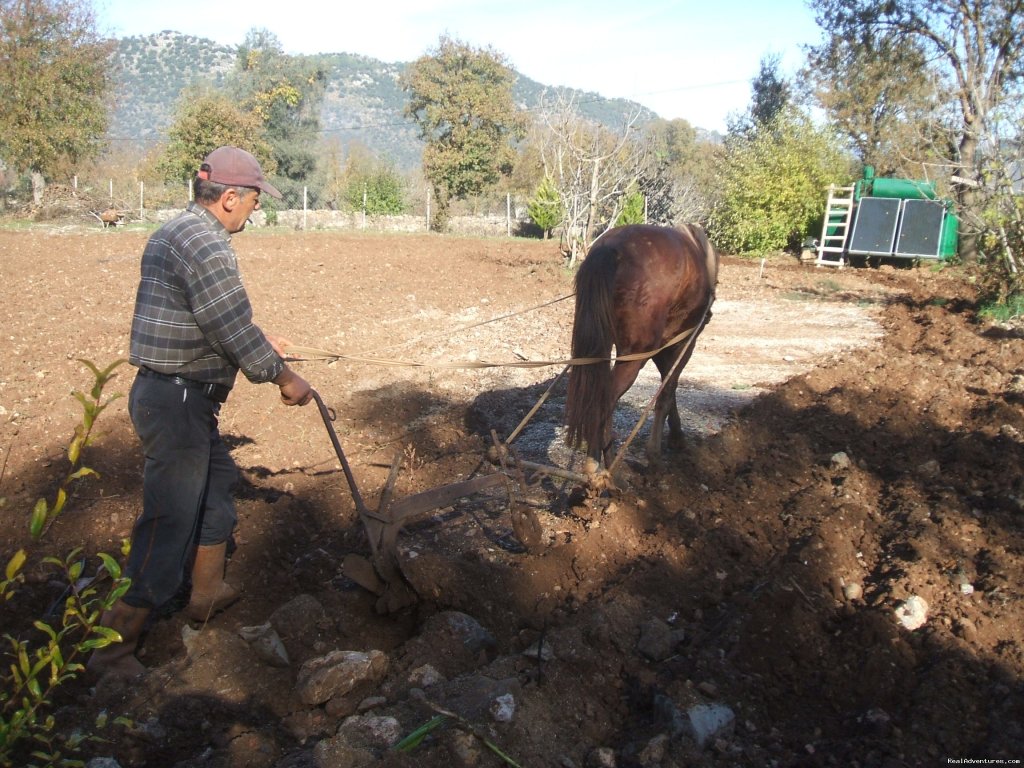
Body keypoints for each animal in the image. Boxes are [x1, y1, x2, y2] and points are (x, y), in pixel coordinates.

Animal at [561, 222, 720, 468]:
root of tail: (609, 248)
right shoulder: (683, 342)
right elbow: (667, 391)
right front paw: (654, 452)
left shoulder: (661, 348)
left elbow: (668, 385)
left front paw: (677, 437)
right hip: (635, 356)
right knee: (606, 398)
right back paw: (599, 467)